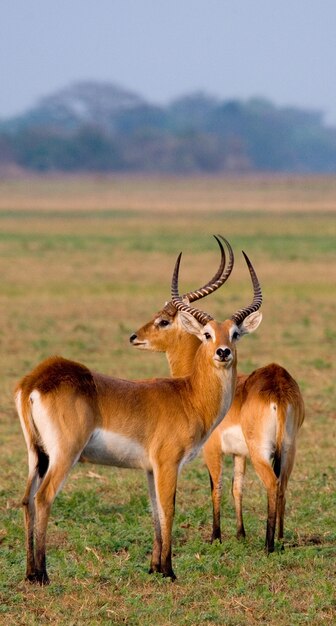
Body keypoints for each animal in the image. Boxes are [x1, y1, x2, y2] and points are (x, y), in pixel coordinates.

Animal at [15, 246, 262, 584]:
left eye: (235, 334)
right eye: (207, 334)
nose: (222, 353)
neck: (188, 395)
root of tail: (37, 380)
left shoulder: (149, 468)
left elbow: (155, 512)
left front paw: (155, 568)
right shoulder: (168, 463)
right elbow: (169, 509)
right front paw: (170, 571)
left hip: (36, 454)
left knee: (26, 499)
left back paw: (30, 573)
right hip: (64, 455)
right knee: (43, 498)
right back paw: (42, 574)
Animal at [131, 235, 304, 552]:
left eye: (163, 320)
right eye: (209, 333)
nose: (134, 337)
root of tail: (278, 386)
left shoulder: (213, 449)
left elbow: (216, 486)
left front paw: (216, 536)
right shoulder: (239, 454)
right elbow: (237, 487)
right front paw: (240, 533)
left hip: (263, 451)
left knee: (272, 484)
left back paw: (269, 545)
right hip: (289, 448)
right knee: (283, 485)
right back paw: (281, 538)